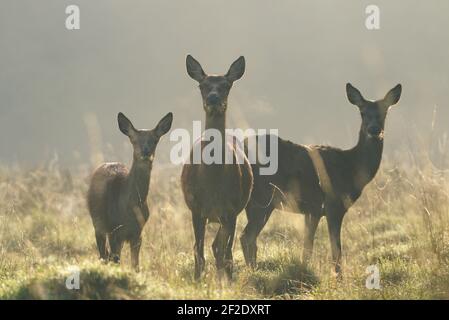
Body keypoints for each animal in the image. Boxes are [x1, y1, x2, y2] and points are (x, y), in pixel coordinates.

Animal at [87, 111, 173, 272]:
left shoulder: (138, 232)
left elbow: (135, 266)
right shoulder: (114, 230)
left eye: (155, 140)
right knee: (103, 254)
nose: (146, 151)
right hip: (98, 222)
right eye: (133, 140)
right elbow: (115, 259)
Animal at [181, 55, 252, 280]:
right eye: (201, 85)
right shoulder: (196, 208)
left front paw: (225, 282)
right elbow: (198, 252)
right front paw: (198, 280)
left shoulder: (231, 209)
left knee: (222, 250)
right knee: (212, 247)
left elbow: (225, 254)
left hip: (232, 212)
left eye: (227, 85)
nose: (213, 99)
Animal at [240, 84, 400, 276]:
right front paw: (339, 278)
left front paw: (303, 271)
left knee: (250, 239)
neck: (350, 167)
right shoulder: (333, 205)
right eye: (362, 112)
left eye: (385, 111)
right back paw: (251, 273)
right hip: (262, 199)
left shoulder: (313, 210)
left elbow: (307, 248)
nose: (374, 129)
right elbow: (336, 251)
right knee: (246, 237)